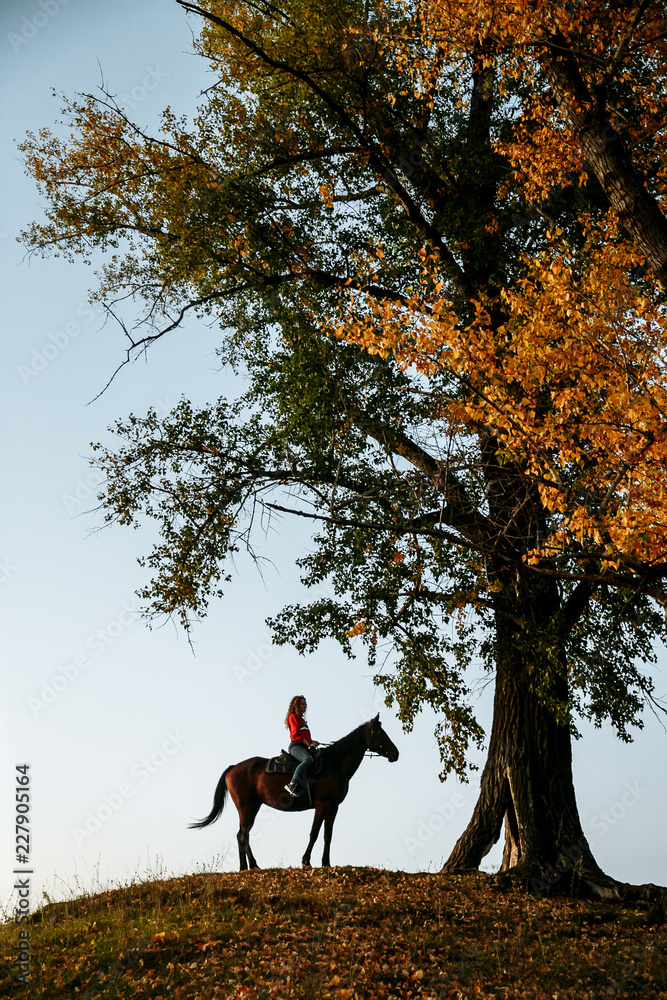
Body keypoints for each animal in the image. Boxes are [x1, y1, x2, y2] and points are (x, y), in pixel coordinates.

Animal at [189, 714, 399, 869]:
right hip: (246, 806)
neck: (335, 763)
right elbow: (314, 833)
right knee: (243, 835)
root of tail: (233, 768)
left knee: (242, 835)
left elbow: (328, 835)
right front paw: (306, 862)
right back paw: (253, 866)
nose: (395, 753)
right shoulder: (322, 805)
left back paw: (245, 868)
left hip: (252, 807)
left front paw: (326, 864)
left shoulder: (333, 807)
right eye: (379, 732)